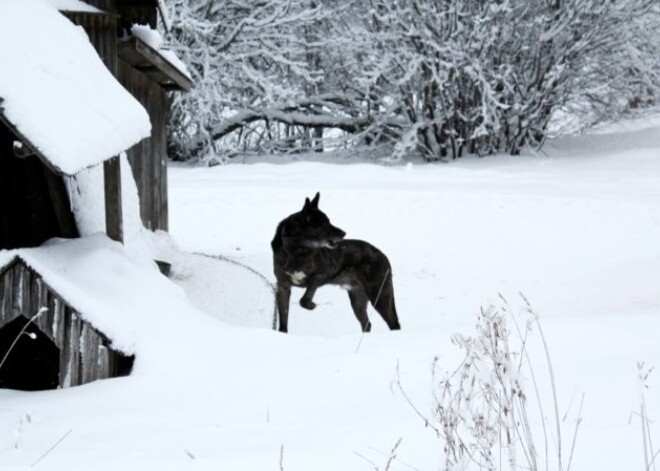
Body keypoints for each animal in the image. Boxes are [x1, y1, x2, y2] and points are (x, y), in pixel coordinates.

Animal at [270, 194, 400, 334]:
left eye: (329, 221)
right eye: (324, 224)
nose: (344, 233)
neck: (296, 252)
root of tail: (383, 255)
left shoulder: (320, 275)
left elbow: (304, 299)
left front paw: (311, 305)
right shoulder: (283, 286)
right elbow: (283, 315)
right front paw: (282, 333)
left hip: (379, 294)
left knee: (393, 323)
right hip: (358, 298)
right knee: (367, 324)